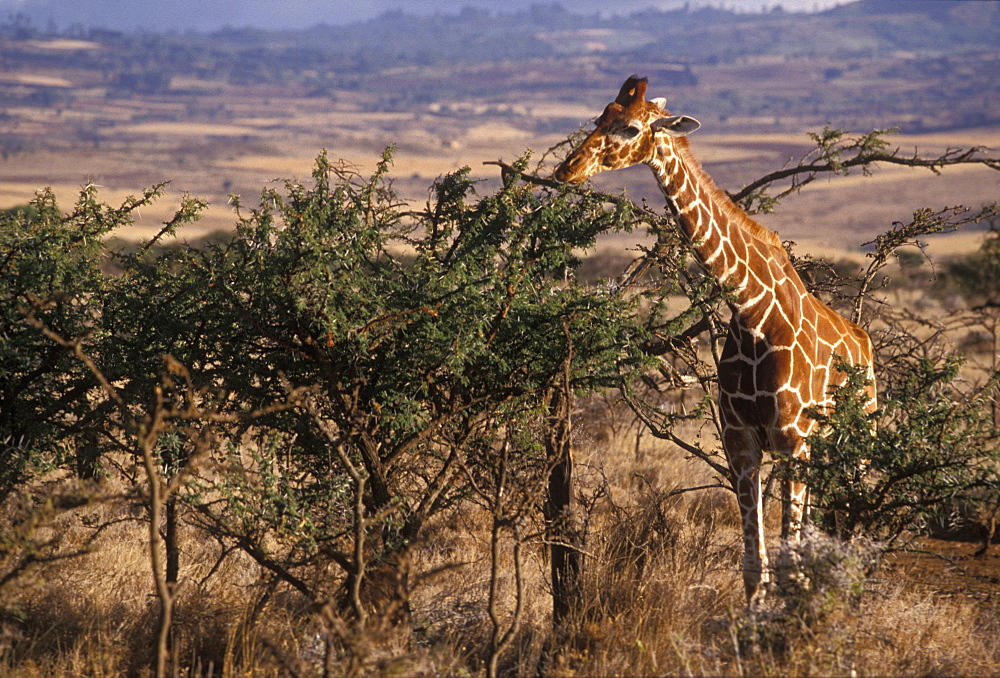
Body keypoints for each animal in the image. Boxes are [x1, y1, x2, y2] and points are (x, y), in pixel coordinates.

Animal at [556, 75, 876, 604]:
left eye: (629, 128)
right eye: (600, 116)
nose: (568, 169)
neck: (751, 310)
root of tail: (864, 341)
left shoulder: (792, 441)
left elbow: (785, 564)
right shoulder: (741, 441)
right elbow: (754, 565)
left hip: (858, 438)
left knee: (858, 522)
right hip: (822, 450)